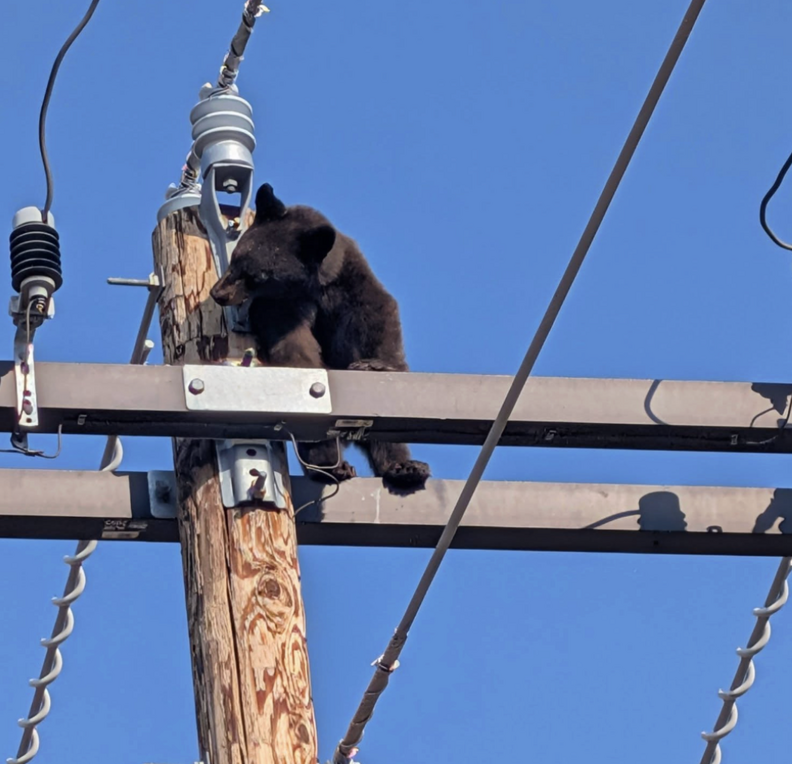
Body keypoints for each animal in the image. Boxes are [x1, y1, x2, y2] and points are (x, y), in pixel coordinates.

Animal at [210, 183, 431, 493]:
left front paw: (374, 364)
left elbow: (377, 317)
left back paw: (405, 467)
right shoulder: (281, 307)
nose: (218, 293)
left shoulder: (349, 283)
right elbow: (295, 346)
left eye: (257, 276)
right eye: (235, 259)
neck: (314, 284)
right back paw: (332, 466)